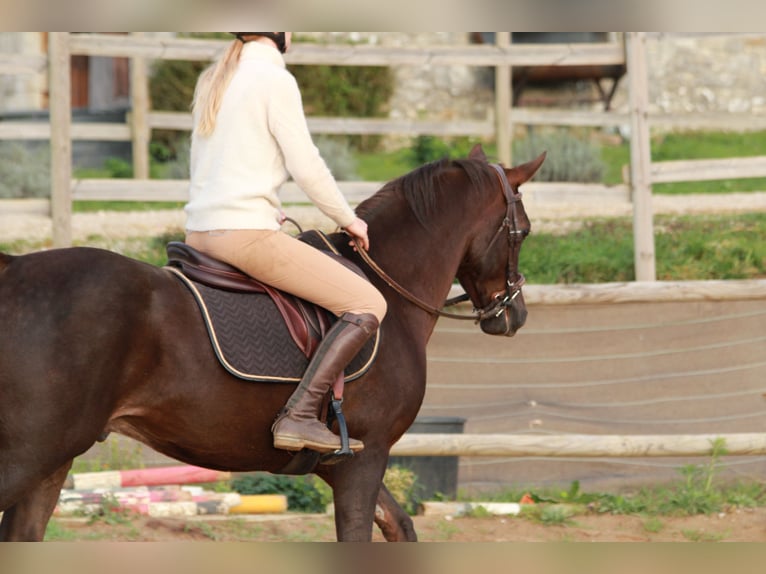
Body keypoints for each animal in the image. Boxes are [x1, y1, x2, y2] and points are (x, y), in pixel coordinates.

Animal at [0, 146, 544, 544]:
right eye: (523, 232)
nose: (514, 315)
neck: (389, 285)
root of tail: (14, 269)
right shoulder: (365, 459)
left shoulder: (344, 463)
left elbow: (401, 526)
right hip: (31, 454)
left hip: (51, 463)